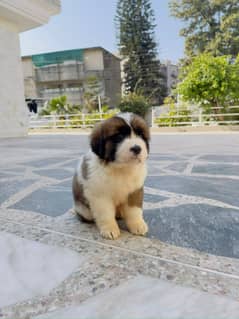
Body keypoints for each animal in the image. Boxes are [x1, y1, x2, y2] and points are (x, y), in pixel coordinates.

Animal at [72, 112, 149, 240]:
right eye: (119, 137)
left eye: (141, 135)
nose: (137, 148)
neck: (120, 169)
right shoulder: (100, 195)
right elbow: (105, 213)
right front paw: (110, 229)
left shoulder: (135, 191)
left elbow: (134, 210)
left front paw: (137, 225)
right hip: (83, 210)